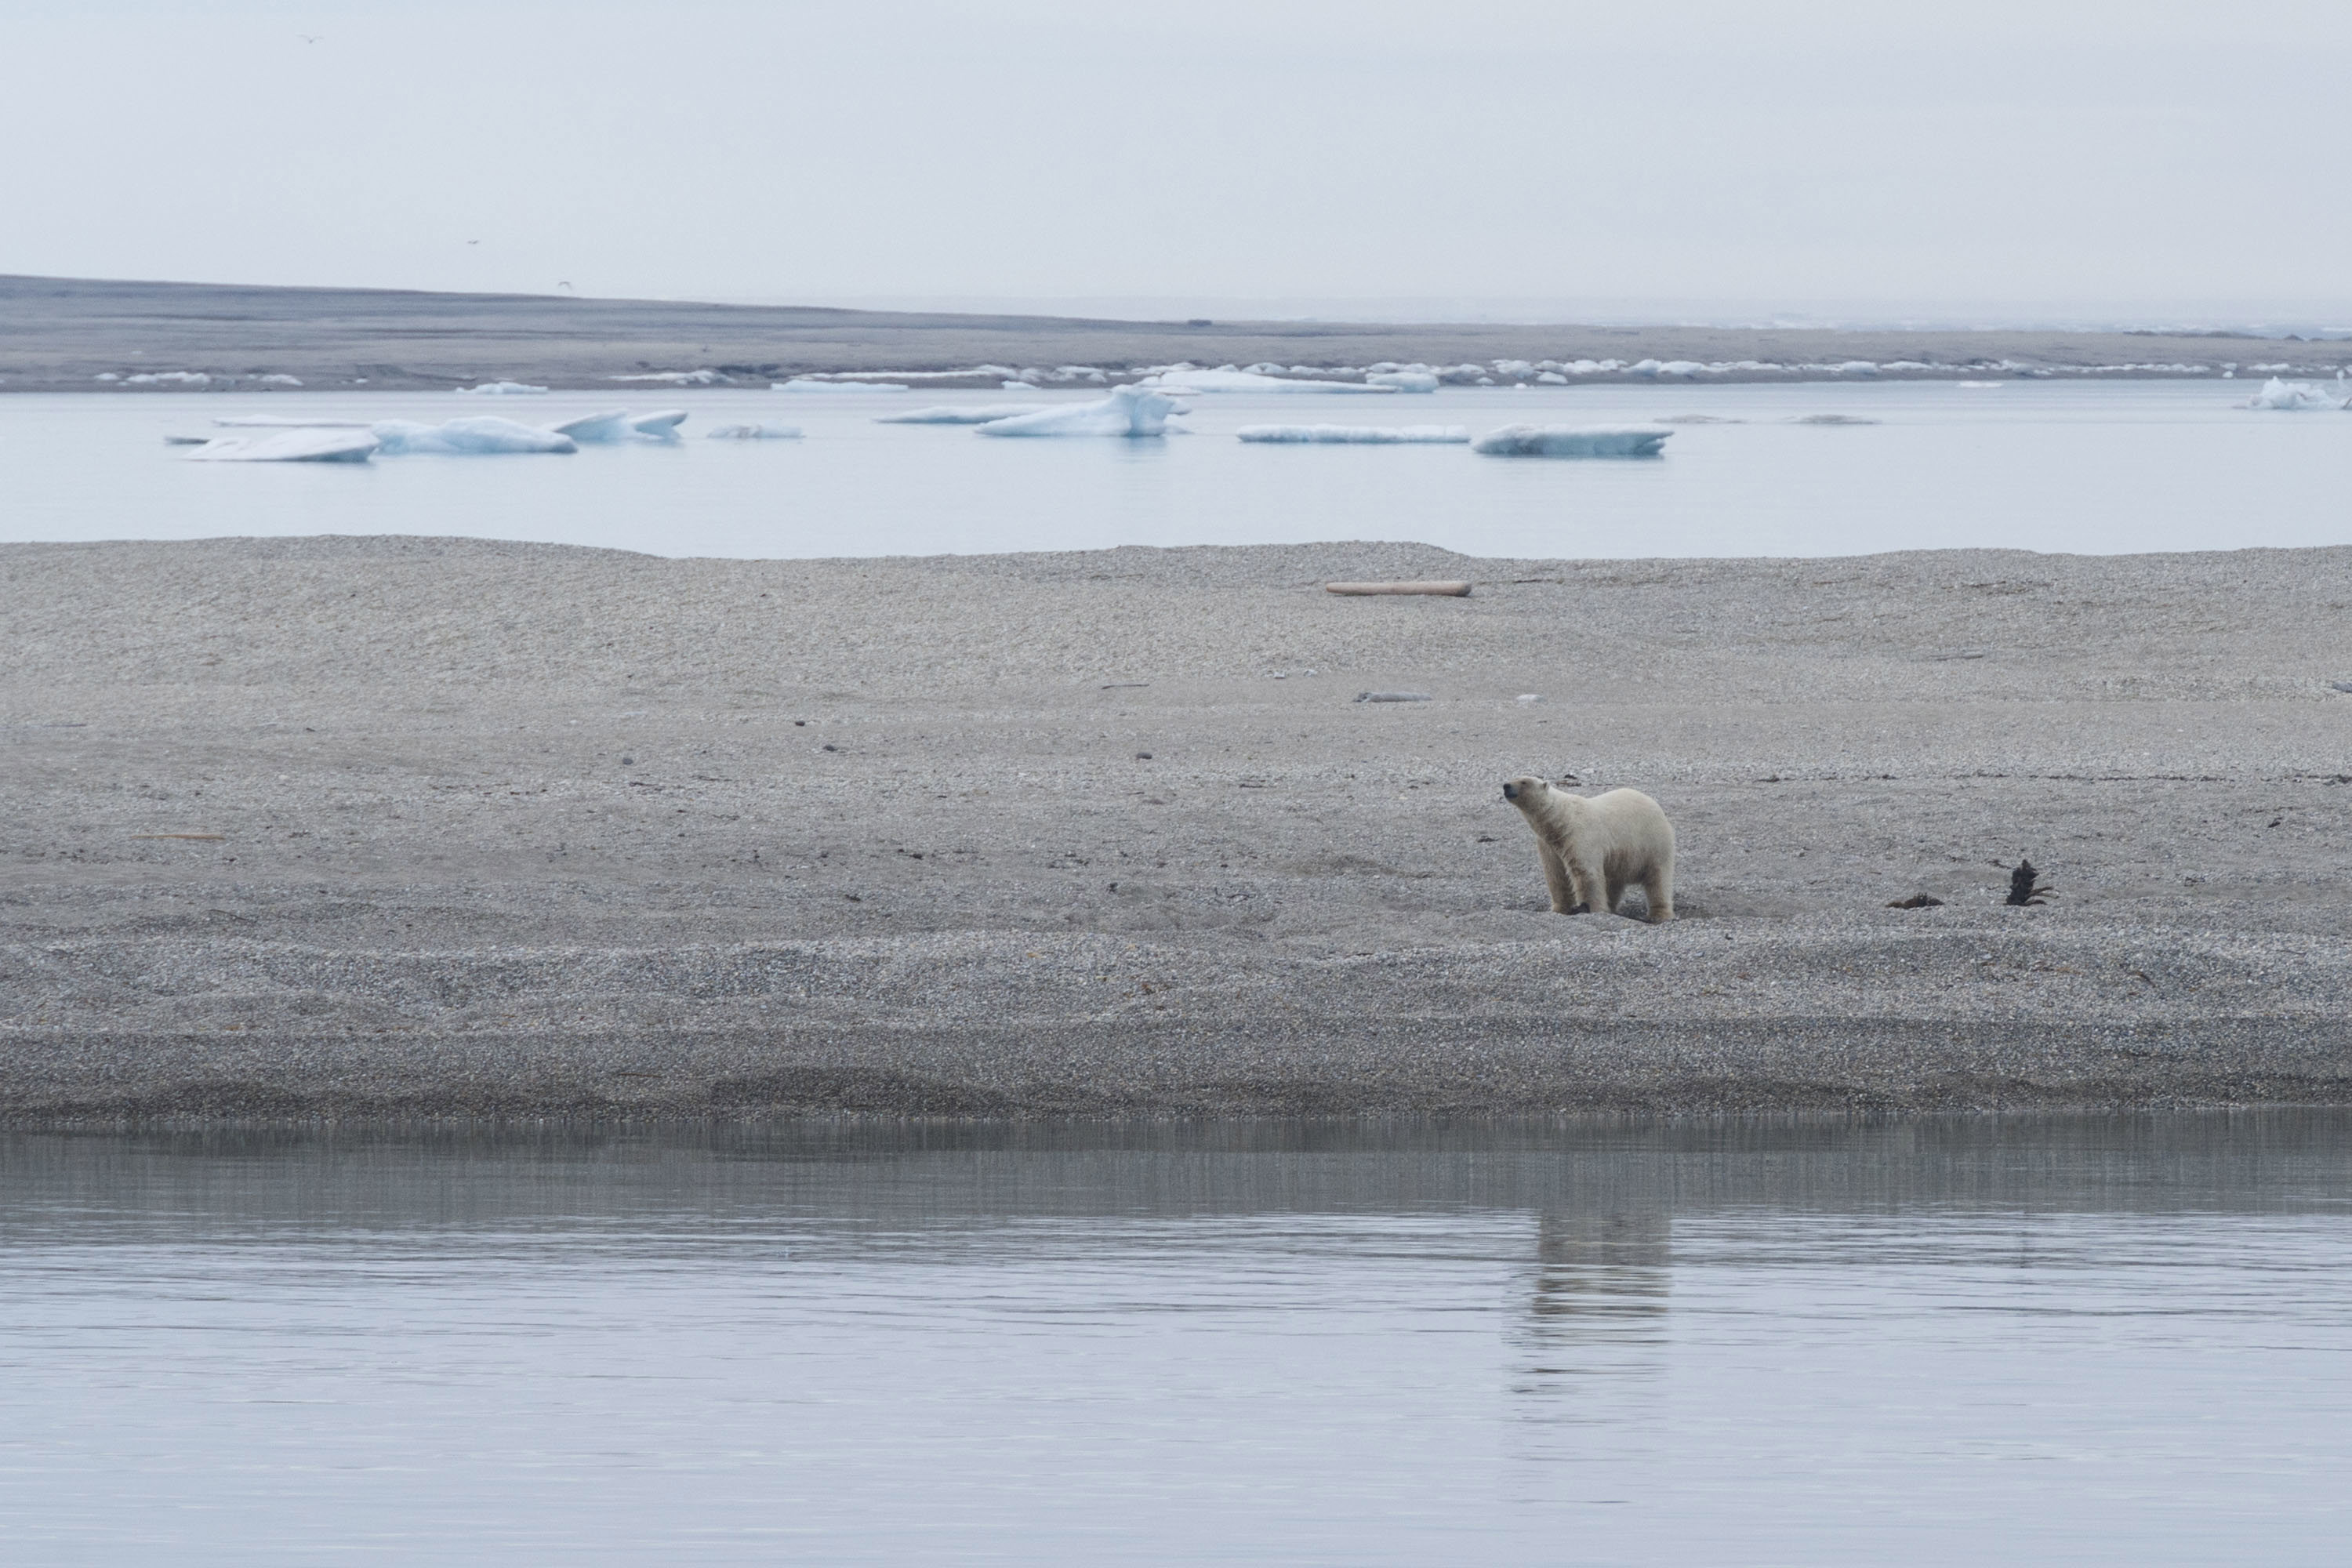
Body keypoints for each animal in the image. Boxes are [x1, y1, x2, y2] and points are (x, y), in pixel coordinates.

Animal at [1501, 776, 1676, 922]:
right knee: (1613, 881)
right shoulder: (1548, 844)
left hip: (1652, 843)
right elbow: (1555, 875)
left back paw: (1659, 914)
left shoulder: (1579, 834)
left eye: (1524, 781)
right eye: (1515, 777)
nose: (1506, 785)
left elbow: (1586, 872)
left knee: (1658, 878)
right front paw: (1559, 909)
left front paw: (1591, 909)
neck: (1560, 820)